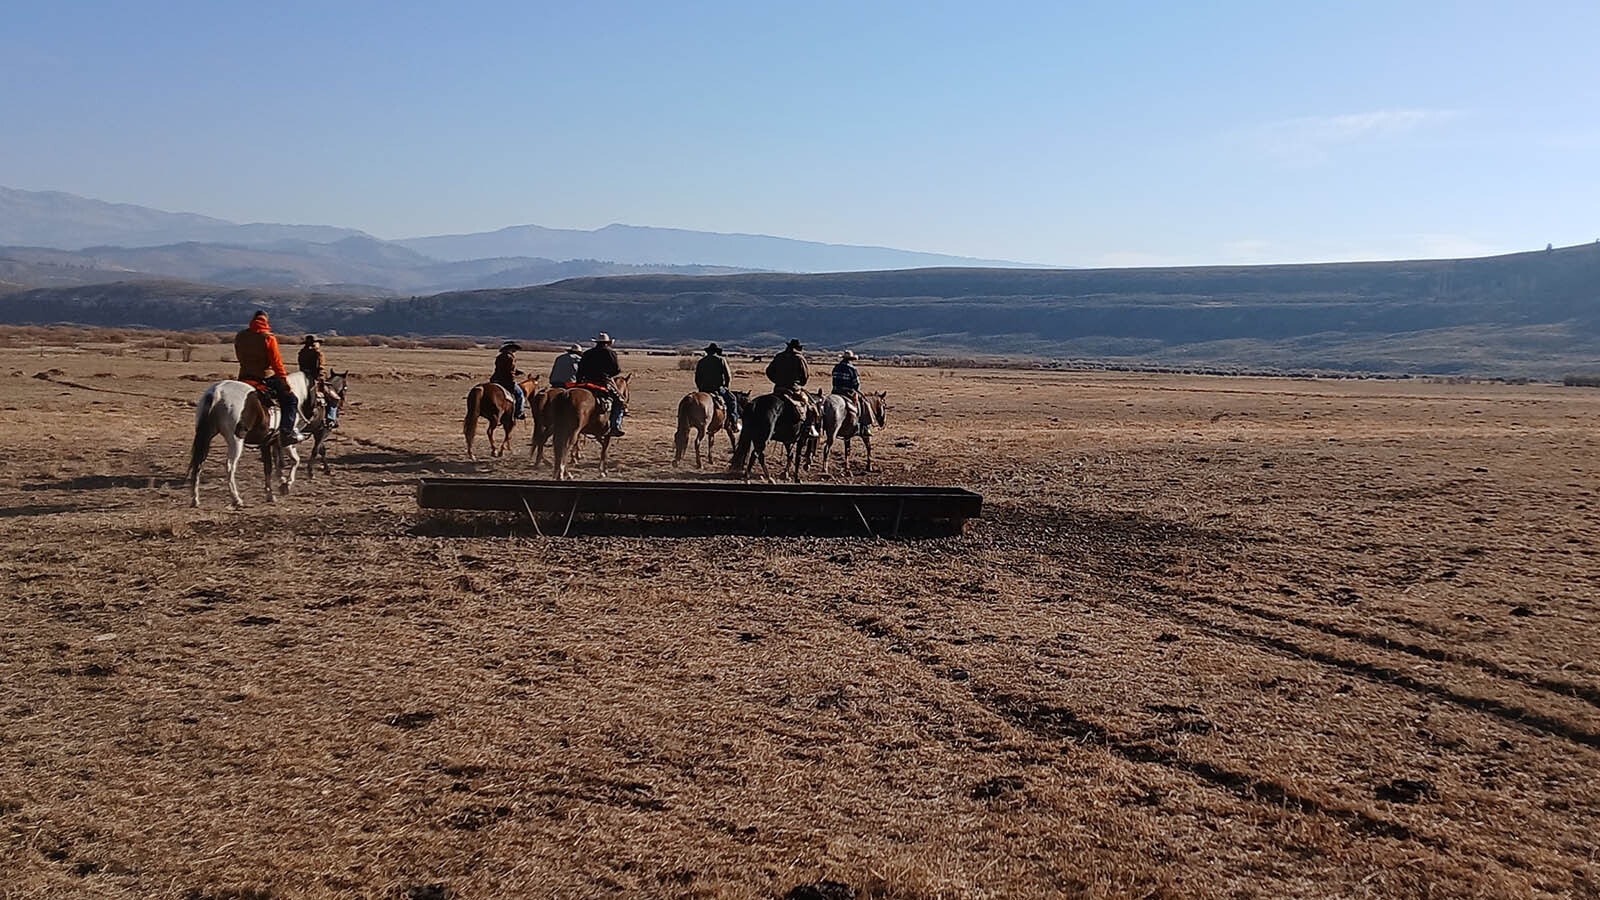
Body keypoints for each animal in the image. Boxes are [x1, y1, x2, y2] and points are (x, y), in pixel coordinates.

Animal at [188, 369, 310, 506]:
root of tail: (217, 393)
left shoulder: (267, 442)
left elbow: (270, 465)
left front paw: (275, 489)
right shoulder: (284, 440)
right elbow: (294, 460)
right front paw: (285, 485)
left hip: (205, 436)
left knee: (199, 463)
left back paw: (195, 499)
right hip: (236, 440)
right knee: (230, 466)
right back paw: (236, 498)